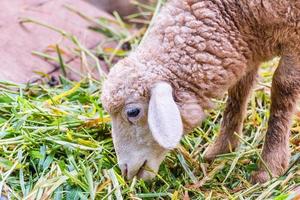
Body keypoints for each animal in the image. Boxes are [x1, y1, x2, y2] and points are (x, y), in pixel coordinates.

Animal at [101, 0, 300, 183]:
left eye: (133, 112)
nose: (125, 170)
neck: (235, 12)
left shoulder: (294, 38)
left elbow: (283, 89)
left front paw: (269, 168)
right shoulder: (249, 45)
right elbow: (238, 91)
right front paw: (220, 150)